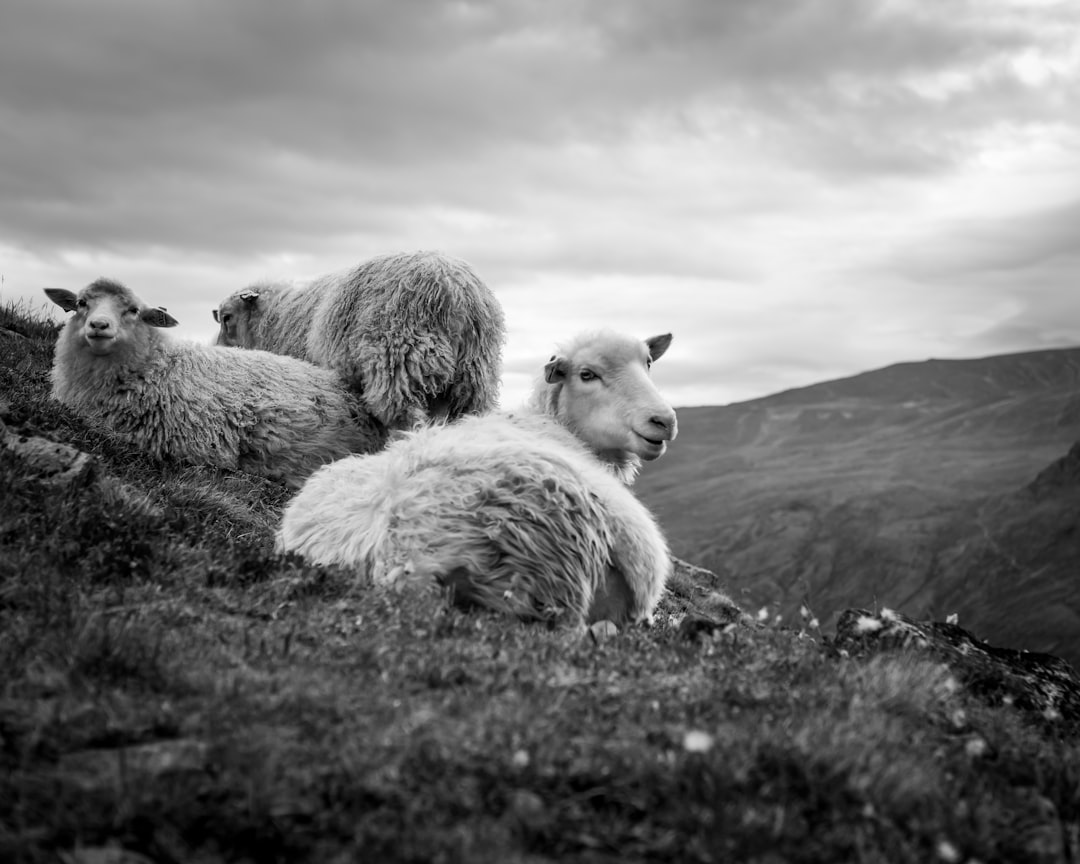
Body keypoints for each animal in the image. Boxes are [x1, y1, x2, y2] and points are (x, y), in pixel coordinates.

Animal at [217, 249, 511, 432]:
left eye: (226, 317)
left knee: (408, 420)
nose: (217, 349)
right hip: (473, 377)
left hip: (399, 360)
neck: (275, 318)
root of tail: (455, 291)